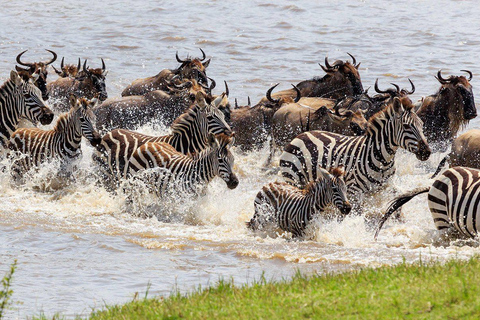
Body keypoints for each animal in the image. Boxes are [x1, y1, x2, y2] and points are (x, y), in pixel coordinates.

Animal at [94, 91, 232, 184]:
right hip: (105, 173)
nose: (231, 133)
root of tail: (109, 133)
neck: (182, 144)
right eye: (210, 117)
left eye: (222, 115)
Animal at [278, 97, 432, 201]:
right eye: (406, 126)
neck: (383, 160)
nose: (427, 152)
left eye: (421, 124)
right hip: (292, 178)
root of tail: (302, 134)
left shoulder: (385, 189)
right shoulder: (353, 191)